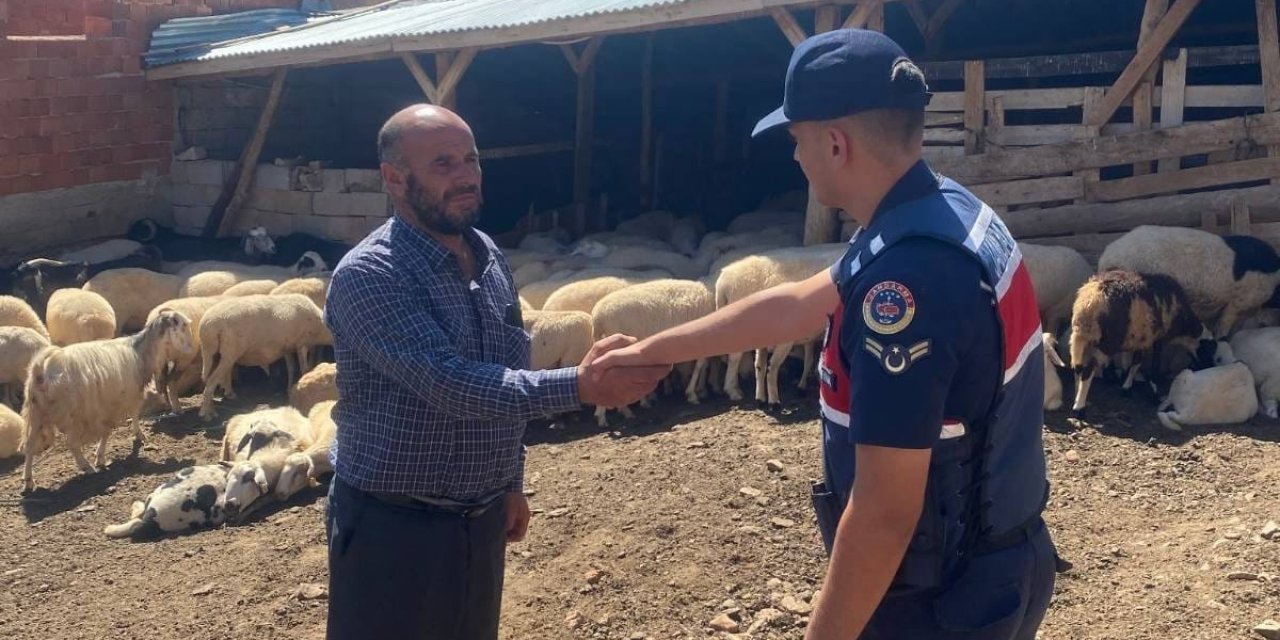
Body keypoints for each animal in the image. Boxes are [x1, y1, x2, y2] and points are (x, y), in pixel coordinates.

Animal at [20, 308, 194, 488]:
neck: (140, 352)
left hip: (35, 411)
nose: (192, 348)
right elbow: (123, 421)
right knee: (72, 444)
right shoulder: (116, 401)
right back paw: (86, 466)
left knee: (29, 445)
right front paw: (104, 455)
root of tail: (41, 368)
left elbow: (122, 421)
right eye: (182, 325)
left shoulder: (114, 403)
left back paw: (28, 480)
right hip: (73, 414)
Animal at [198, 294, 335, 419]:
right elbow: (304, 369)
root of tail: (207, 325)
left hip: (213, 353)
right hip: (229, 352)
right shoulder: (302, 344)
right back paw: (207, 413)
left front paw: (289, 388)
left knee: (208, 379)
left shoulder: (287, 348)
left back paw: (218, 402)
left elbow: (291, 368)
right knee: (212, 382)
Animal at [1064, 268, 1213, 414]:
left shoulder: (1139, 338)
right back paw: (1079, 408)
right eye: (1207, 349)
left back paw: (1077, 398)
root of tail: (1090, 302)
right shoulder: (1157, 339)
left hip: (1082, 336)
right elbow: (1151, 366)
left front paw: (1125, 385)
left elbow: (1134, 362)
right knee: (1087, 371)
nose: (1208, 366)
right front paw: (1154, 394)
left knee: (1078, 367)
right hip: (1106, 344)